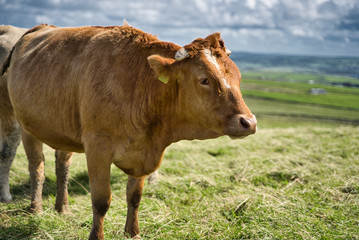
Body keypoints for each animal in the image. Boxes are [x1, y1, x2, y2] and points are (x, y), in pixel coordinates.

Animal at [1, 23, 258, 238]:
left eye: (238, 77)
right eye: (204, 80)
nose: (249, 122)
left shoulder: (142, 149)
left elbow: (134, 197)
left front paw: (132, 233)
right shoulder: (97, 147)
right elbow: (101, 200)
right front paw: (97, 236)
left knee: (62, 163)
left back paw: (62, 207)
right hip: (23, 123)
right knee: (36, 166)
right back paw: (35, 208)